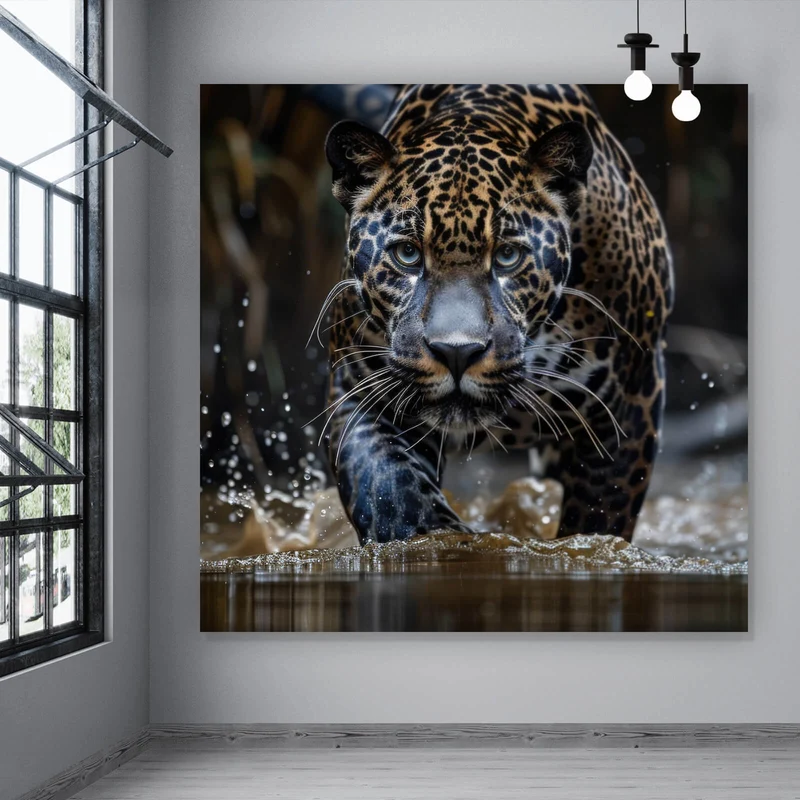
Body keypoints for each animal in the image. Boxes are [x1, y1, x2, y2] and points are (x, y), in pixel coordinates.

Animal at [319, 84, 673, 544]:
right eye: (407, 254)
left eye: (507, 256)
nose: (456, 353)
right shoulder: (362, 391)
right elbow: (390, 494)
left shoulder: (627, 407)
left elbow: (598, 522)